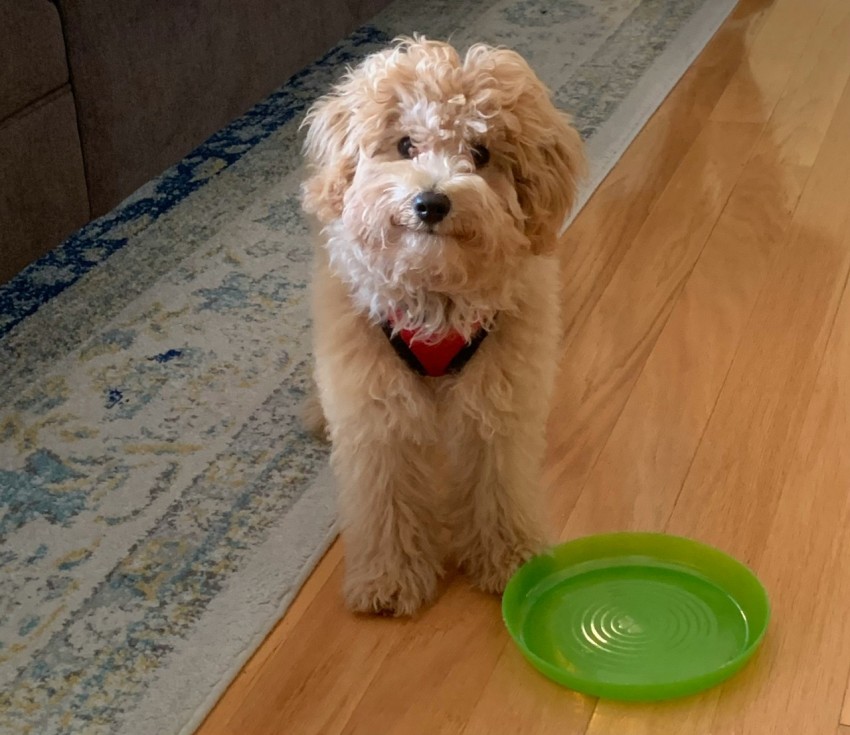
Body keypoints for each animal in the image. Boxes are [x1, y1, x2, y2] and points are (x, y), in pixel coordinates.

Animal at [298, 37, 584, 620]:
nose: (431, 202)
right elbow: (385, 496)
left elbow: (499, 481)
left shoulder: (499, 398)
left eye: (482, 153)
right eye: (405, 144)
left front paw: (510, 558)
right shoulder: (374, 405)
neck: (435, 295)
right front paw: (389, 576)